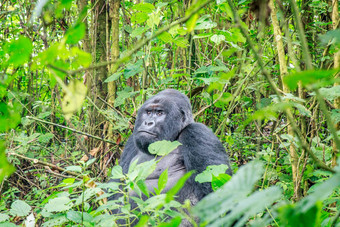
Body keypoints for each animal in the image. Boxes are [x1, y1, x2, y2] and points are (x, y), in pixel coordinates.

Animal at [110, 89, 232, 223]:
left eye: (160, 113)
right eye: (148, 112)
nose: (148, 122)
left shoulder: (197, 132)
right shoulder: (132, 140)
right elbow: (117, 190)